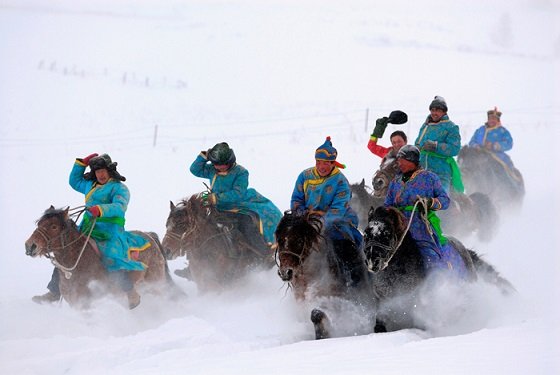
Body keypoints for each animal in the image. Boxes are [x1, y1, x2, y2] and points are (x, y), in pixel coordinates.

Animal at [364, 207, 516, 334]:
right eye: (366, 233)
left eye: (387, 233)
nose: (372, 261)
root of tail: (465, 250)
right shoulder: (383, 301)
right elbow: (380, 324)